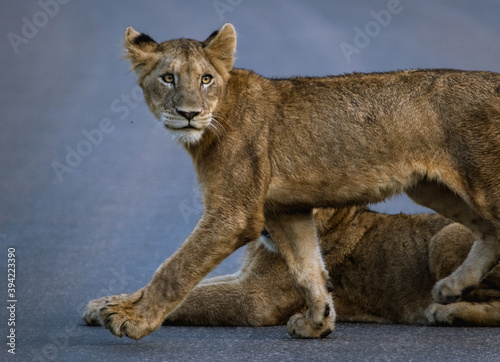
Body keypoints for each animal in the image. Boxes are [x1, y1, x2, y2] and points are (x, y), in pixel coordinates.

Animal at [86, 206, 500, 328]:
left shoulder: (254, 298)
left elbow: (195, 299)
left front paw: (115, 314)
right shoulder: (243, 278)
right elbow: (188, 288)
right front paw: (106, 303)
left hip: (445, 237)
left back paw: (446, 313)